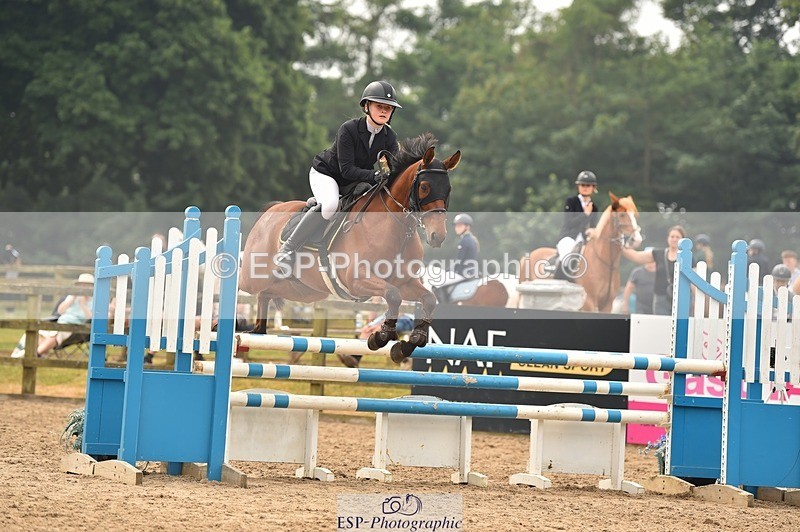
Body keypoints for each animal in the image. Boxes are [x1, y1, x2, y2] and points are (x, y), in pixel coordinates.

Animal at [240, 133, 461, 363]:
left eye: (448, 189)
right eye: (425, 187)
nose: (438, 236)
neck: (395, 228)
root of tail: (271, 209)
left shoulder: (406, 282)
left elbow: (429, 299)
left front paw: (411, 342)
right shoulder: (358, 279)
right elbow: (392, 296)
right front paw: (381, 336)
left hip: (303, 290)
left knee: (265, 294)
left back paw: (258, 329)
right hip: (252, 277)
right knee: (245, 287)